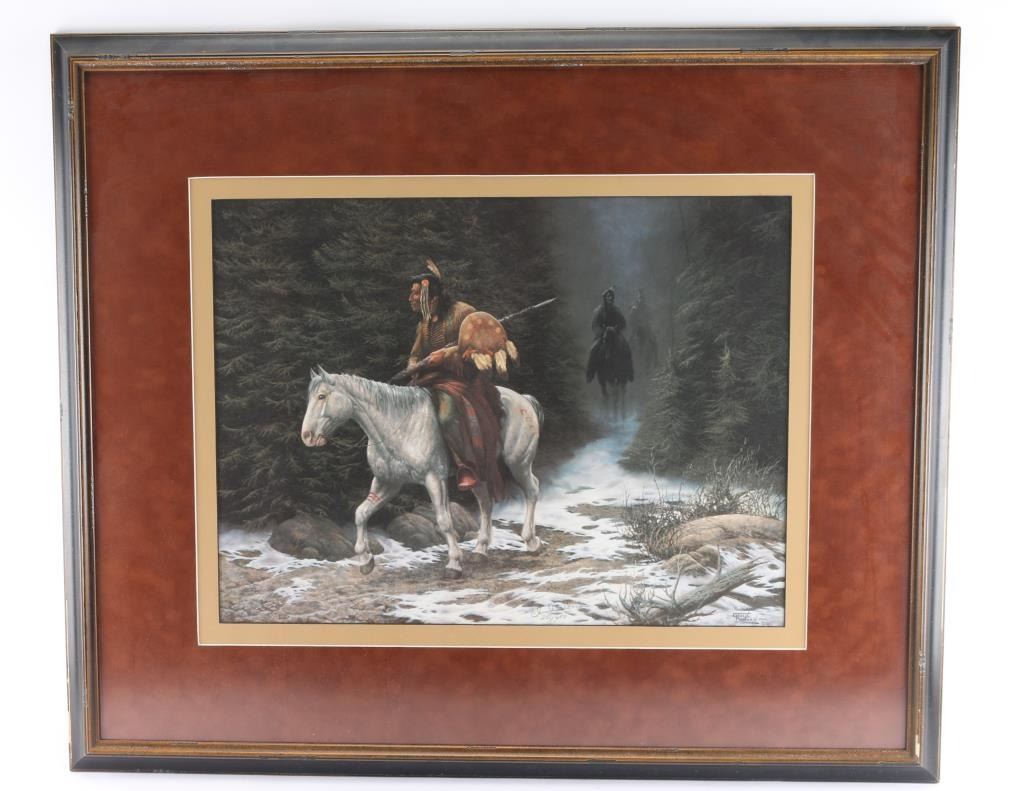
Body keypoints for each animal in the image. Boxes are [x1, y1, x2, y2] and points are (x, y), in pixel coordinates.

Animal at [300, 367, 543, 579]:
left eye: (321, 396)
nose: (307, 436)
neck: (400, 425)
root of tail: (523, 399)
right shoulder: (387, 482)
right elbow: (361, 513)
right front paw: (365, 561)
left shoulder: (434, 479)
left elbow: (444, 520)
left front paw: (454, 564)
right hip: (479, 473)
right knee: (485, 503)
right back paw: (481, 549)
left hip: (518, 462)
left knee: (532, 489)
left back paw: (531, 541)